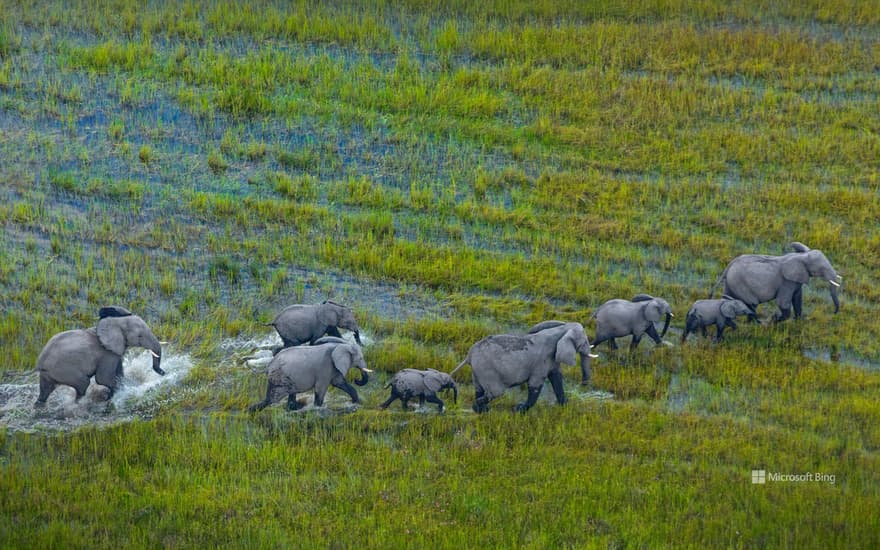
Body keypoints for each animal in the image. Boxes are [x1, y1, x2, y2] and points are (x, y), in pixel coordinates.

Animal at [34, 306, 164, 410]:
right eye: (140, 336)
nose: (163, 372)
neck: (116, 322)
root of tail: (40, 362)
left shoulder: (114, 352)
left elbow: (118, 374)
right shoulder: (106, 354)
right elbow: (103, 379)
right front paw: (119, 393)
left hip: (49, 373)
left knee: (45, 390)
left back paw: (38, 406)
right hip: (63, 370)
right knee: (83, 384)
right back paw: (78, 404)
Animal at [450, 322, 596, 416]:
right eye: (584, 342)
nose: (583, 384)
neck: (562, 329)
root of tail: (469, 355)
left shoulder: (552, 359)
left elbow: (556, 378)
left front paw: (565, 406)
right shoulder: (541, 361)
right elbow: (535, 385)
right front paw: (519, 410)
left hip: (477, 370)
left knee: (479, 389)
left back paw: (481, 410)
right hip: (486, 370)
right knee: (496, 392)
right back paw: (479, 408)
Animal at [708, 243, 840, 324]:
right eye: (821, 268)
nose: (833, 313)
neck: (801, 256)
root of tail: (728, 266)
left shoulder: (795, 280)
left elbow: (797, 298)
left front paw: (799, 322)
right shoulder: (786, 282)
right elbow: (783, 303)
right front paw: (774, 320)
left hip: (731, 283)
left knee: (728, 298)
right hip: (739, 283)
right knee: (752, 304)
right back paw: (757, 324)